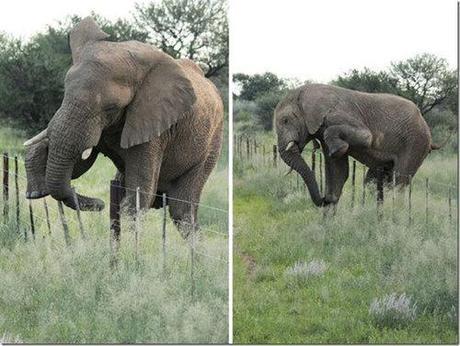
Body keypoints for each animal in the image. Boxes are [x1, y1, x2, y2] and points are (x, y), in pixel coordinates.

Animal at [23, 17, 225, 237]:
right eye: (65, 93)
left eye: (111, 108)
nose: (100, 204)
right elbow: (74, 165)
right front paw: (36, 187)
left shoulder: (154, 126)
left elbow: (139, 194)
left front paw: (128, 242)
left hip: (212, 143)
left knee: (182, 210)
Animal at [274, 83, 440, 208]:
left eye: (286, 120)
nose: (324, 199)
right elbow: (338, 171)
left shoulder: (337, 115)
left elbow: (366, 137)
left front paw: (338, 150)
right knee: (373, 182)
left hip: (416, 143)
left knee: (400, 181)